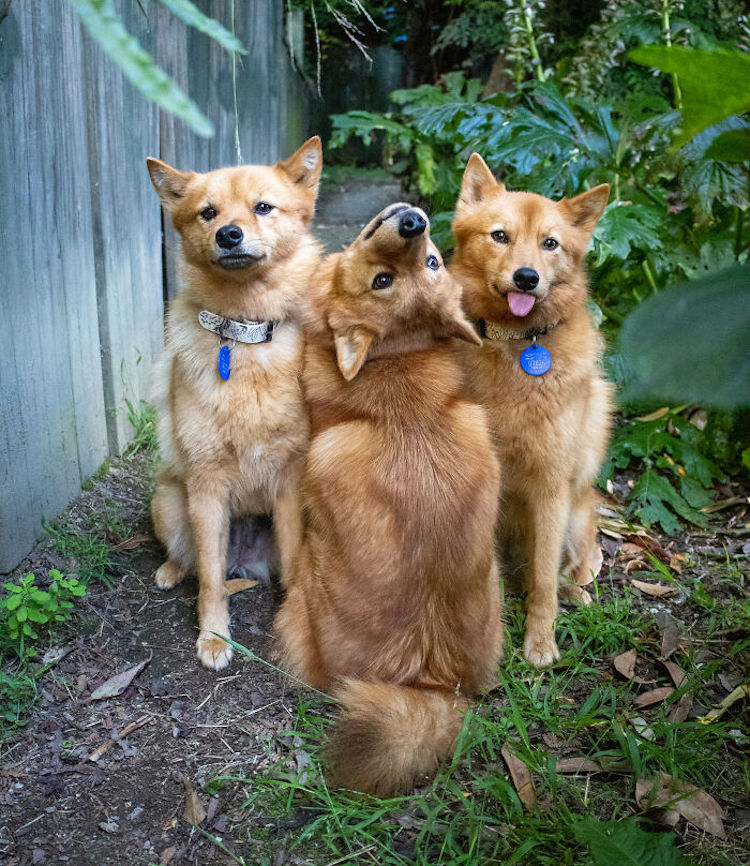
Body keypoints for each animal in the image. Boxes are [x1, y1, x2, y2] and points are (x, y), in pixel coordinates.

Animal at [147, 140, 324, 668]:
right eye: (208, 213)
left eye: (263, 206)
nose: (229, 234)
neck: (243, 335)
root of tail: (244, 558)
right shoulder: (206, 488)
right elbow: (209, 577)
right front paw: (213, 636)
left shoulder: (289, 480)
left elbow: (292, 561)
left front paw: (294, 619)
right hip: (168, 499)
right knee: (190, 559)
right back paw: (170, 570)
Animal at [276, 202, 506, 796]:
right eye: (385, 280)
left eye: (430, 261)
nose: (414, 221)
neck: (393, 357)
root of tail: (426, 679)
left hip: (299, 592)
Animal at [450, 154, 612, 668]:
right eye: (500, 235)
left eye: (550, 243)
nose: (527, 278)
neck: (515, 345)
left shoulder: (550, 489)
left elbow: (543, 580)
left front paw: (540, 642)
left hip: (576, 517)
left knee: (570, 568)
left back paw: (575, 593)